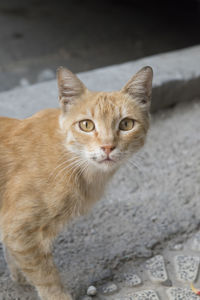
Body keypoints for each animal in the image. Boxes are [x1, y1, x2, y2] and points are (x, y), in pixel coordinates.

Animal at [0, 66, 153, 300]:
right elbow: (47, 277)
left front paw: (18, 276)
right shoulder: (19, 230)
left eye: (126, 124)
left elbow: (12, 254)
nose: (107, 147)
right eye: (86, 125)